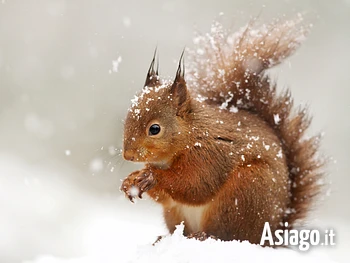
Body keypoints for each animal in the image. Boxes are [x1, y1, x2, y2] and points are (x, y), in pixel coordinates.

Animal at [119, 18, 322, 245]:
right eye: (128, 118)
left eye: (155, 129)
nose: (128, 155)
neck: (192, 133)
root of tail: (271, 235)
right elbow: (166, 197)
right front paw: (131, 180)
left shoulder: (210, 154)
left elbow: (195, 185)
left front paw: (151, 176)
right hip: (176, 214)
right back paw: (164, 238)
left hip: (243, 193)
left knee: (227, 234)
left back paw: (203, 236)